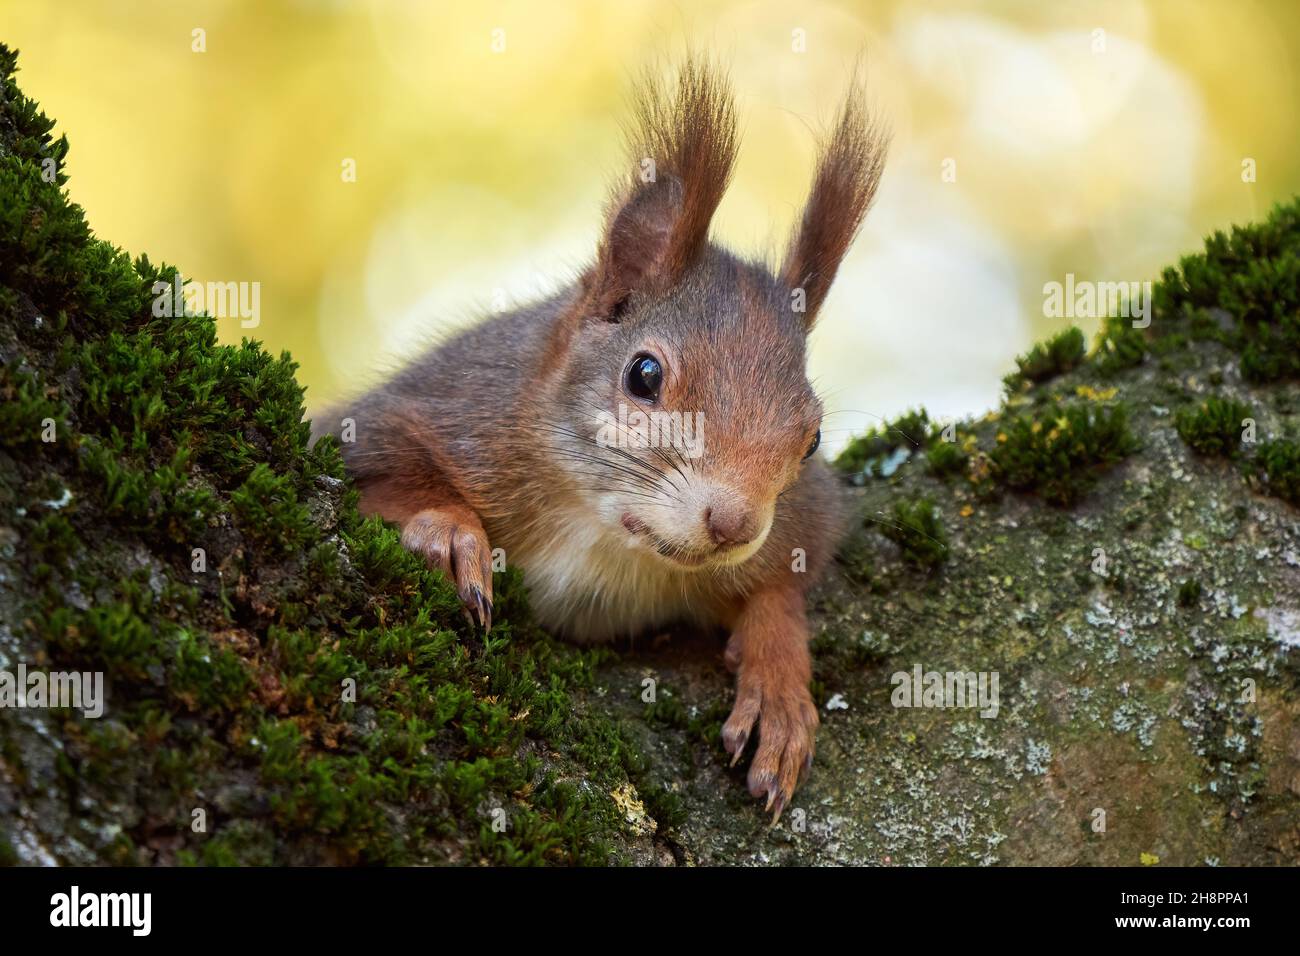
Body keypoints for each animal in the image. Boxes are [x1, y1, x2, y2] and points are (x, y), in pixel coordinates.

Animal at [318, 57, 888, 818]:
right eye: (643, 375)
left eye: (814, 436)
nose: (735, 524)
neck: (607, 535)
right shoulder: (444, 409)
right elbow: (383, 469)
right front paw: (449, 531)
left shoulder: (808, 515)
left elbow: (785, 582)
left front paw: (777, 683)